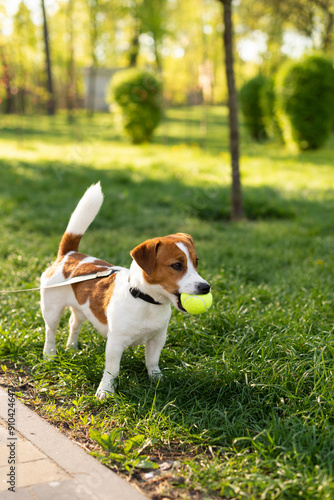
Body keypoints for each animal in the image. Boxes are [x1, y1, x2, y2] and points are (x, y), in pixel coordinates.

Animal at [40, 183, 210, 398]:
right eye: (177, 265)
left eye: (196, 262)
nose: (206, 287)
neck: (146, 300)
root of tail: (70, 255)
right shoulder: (115, 342)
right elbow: (112, 369)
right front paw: (106, 390)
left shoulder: (158, 338)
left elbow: (152, 361)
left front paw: (157, 379)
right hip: (51, 309)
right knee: (51, 331)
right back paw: (49, 355)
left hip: (81, 307)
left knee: (74, 323)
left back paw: (72, 347)